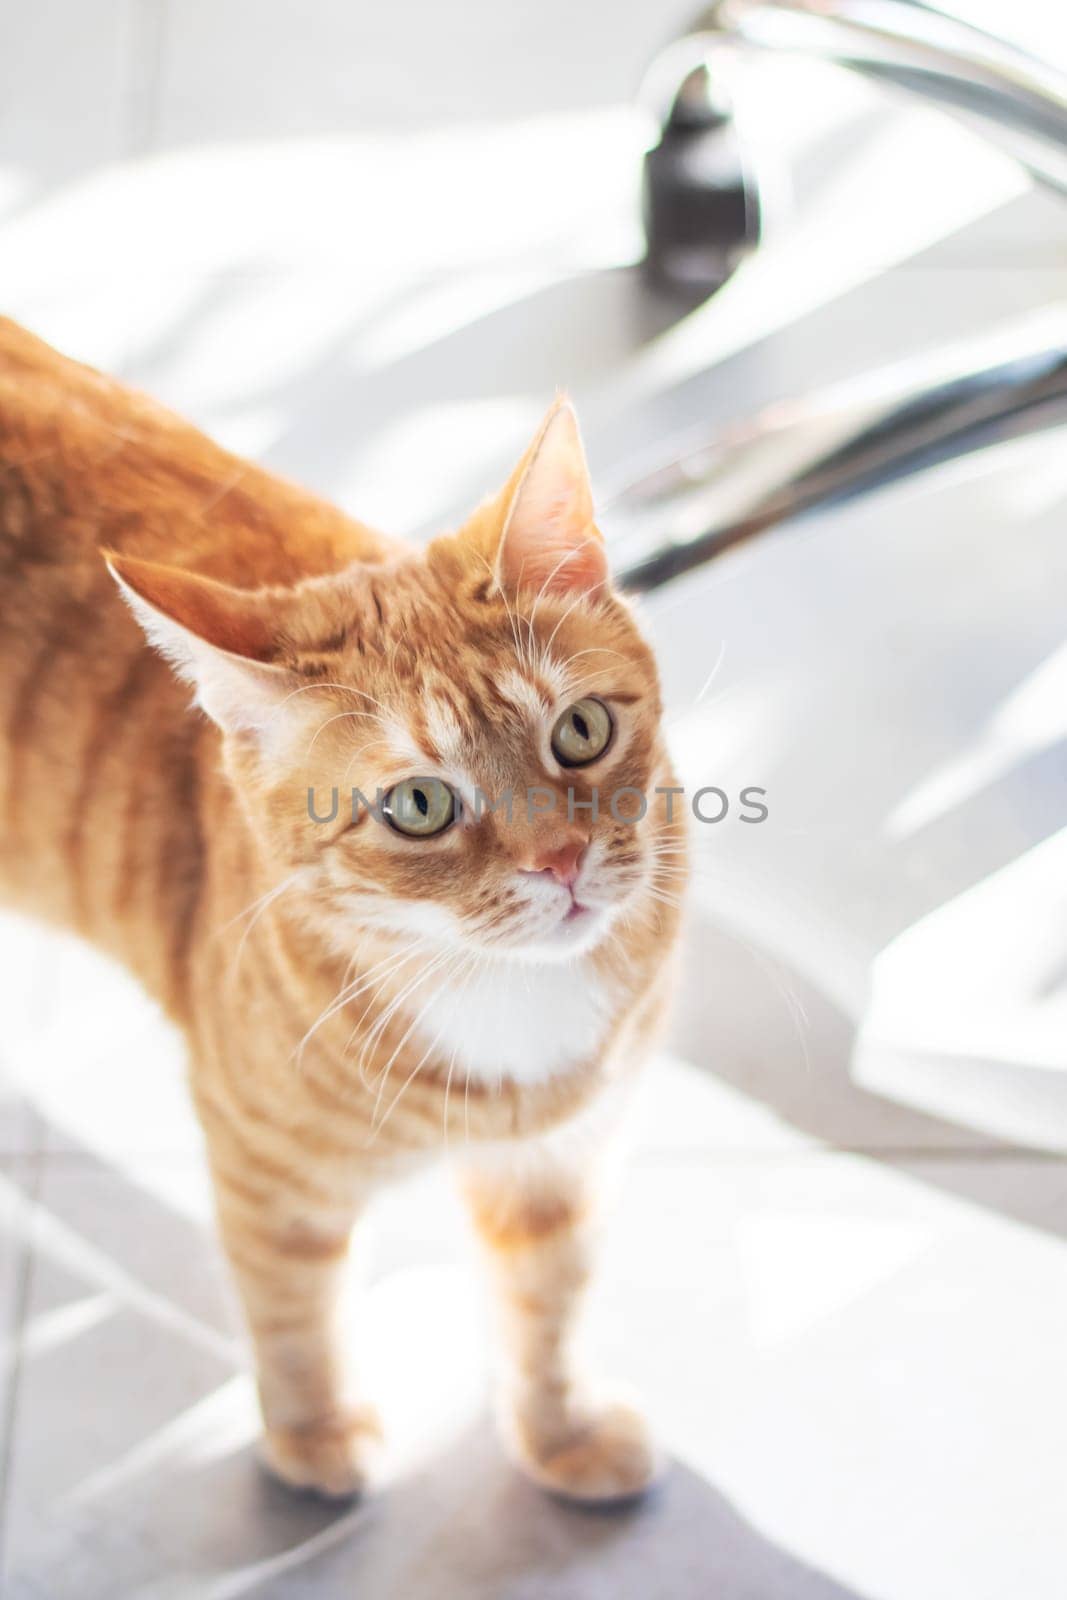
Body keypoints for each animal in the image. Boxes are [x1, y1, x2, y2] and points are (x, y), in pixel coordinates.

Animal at [0, 321, 684, 1497]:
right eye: (419, 805)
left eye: (581, 731)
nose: (560, 859)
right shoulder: (262, 1167)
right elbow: (290, 1309)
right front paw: (314, 1436)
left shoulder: (561, 1160)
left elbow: (547, 1298)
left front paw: (557, 1434)